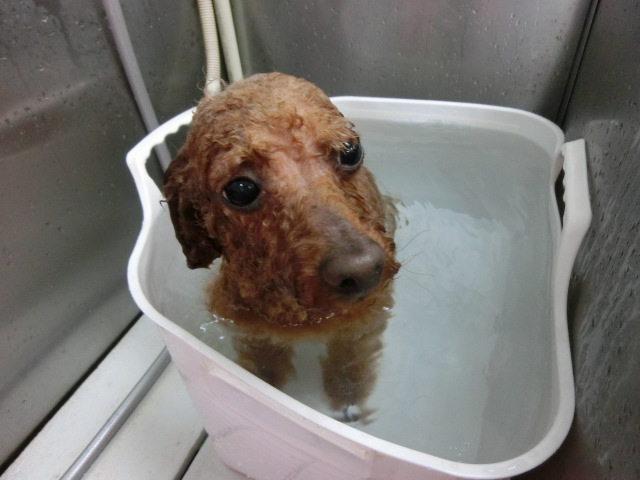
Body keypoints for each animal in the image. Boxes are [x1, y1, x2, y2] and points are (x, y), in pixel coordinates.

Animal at [164, 73, 399, 421]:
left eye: (350, 151)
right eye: (241, 190)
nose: (362, 270)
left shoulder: (364, 322)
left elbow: (350, 361)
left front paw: (348, 397)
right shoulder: (251, 333)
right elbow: (265, 370)